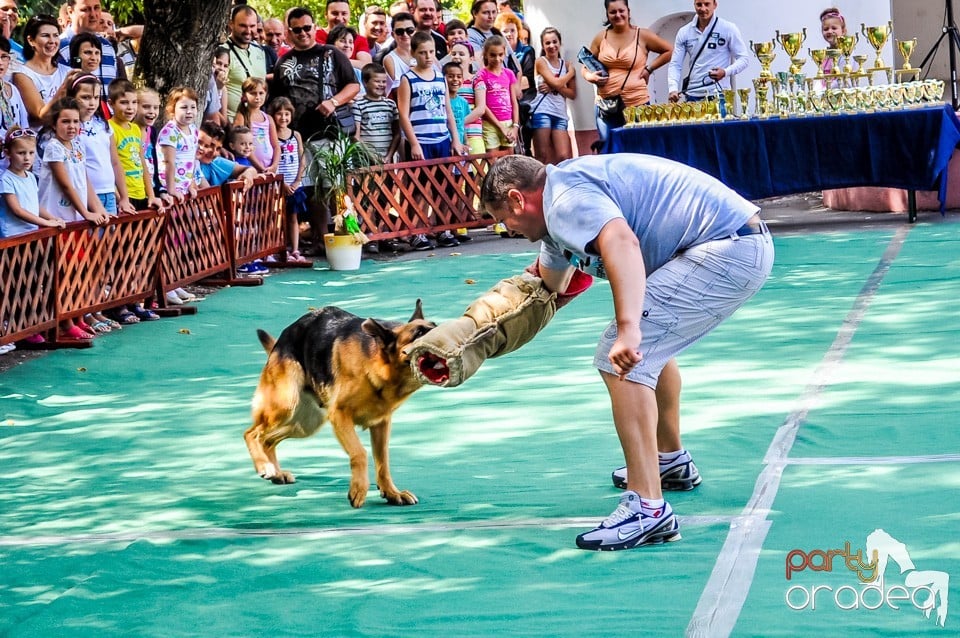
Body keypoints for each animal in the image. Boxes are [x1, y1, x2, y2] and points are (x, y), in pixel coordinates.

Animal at [244, 302, 436, 510]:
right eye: (418, 333)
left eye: (435, 325)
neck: (378, 365)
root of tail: (282, 340)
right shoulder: (340, 416)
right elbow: (359, 453)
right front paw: (359, 488)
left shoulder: (381, 425)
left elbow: (383, 462)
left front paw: (392, 493)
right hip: (286, 405)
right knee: (252, 434)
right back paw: (264, 466)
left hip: (305, 424)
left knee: (267, 440)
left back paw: (276, 473)